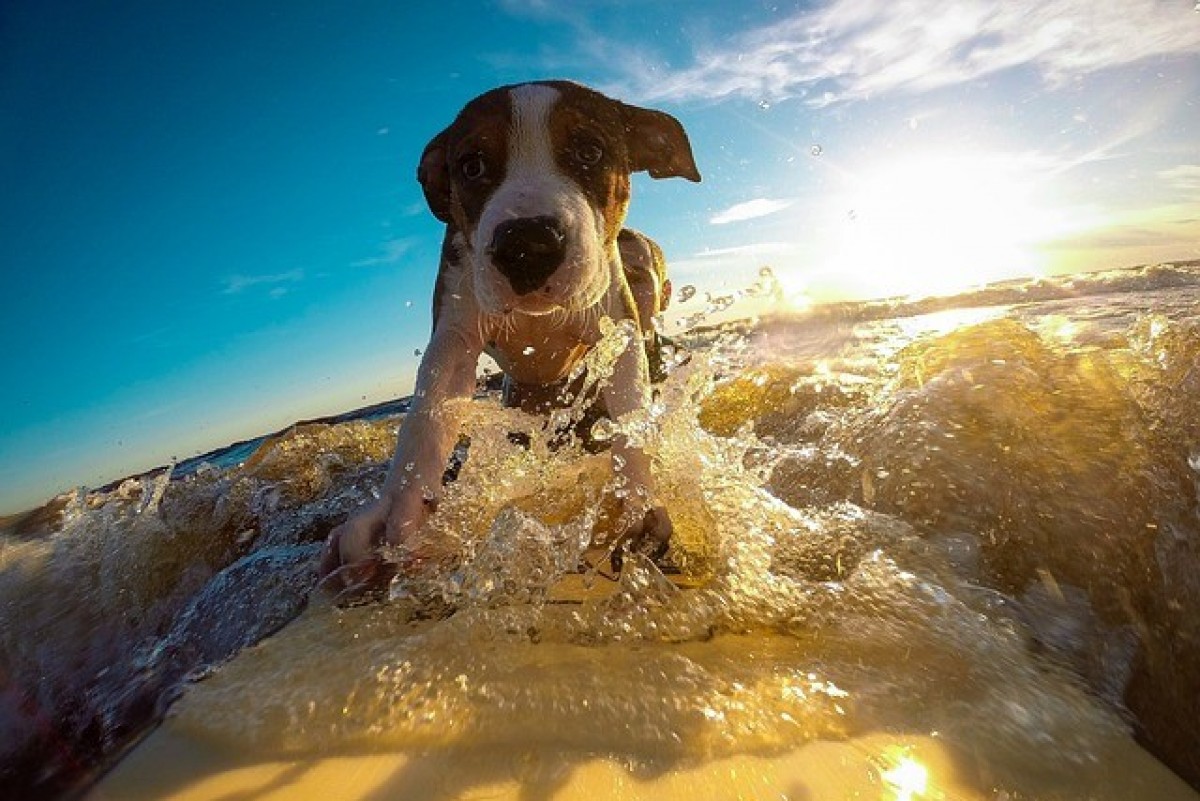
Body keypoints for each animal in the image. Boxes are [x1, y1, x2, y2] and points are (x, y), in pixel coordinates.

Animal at [319, 79, 700, 599]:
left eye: (590, 151)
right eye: (472, 165)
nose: (527, 244)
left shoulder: (616, 326)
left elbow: (630, 412)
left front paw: (635, 504)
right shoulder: (454, 333)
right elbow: (425, 420)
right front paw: (399, 518)